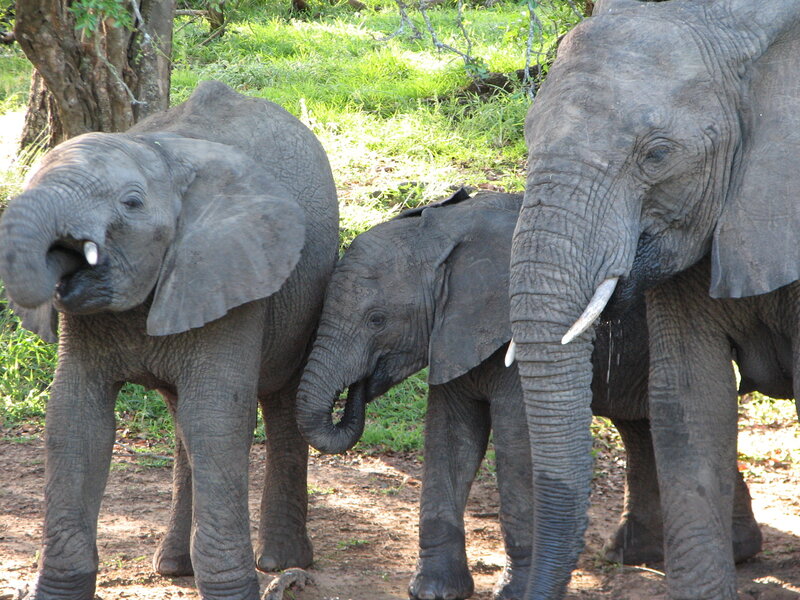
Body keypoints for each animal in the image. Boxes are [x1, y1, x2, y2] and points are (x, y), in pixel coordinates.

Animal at [0, 81, 339, 600]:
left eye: (132, 203)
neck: (160, 154)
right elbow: (77, 420)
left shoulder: (230, 276)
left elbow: (215, 420)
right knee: (182, 424)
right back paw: (176, 567)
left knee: (278, 405)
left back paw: (282, 561)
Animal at [294, 189, 761, 600]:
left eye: (377, 320)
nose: (358, 388)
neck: (448, 233)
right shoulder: (450, 334)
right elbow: (450, 442)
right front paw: (434, 591)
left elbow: (517, 448)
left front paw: (513, 592)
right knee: (640, 428)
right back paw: (633, 554)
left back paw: (736, 552)